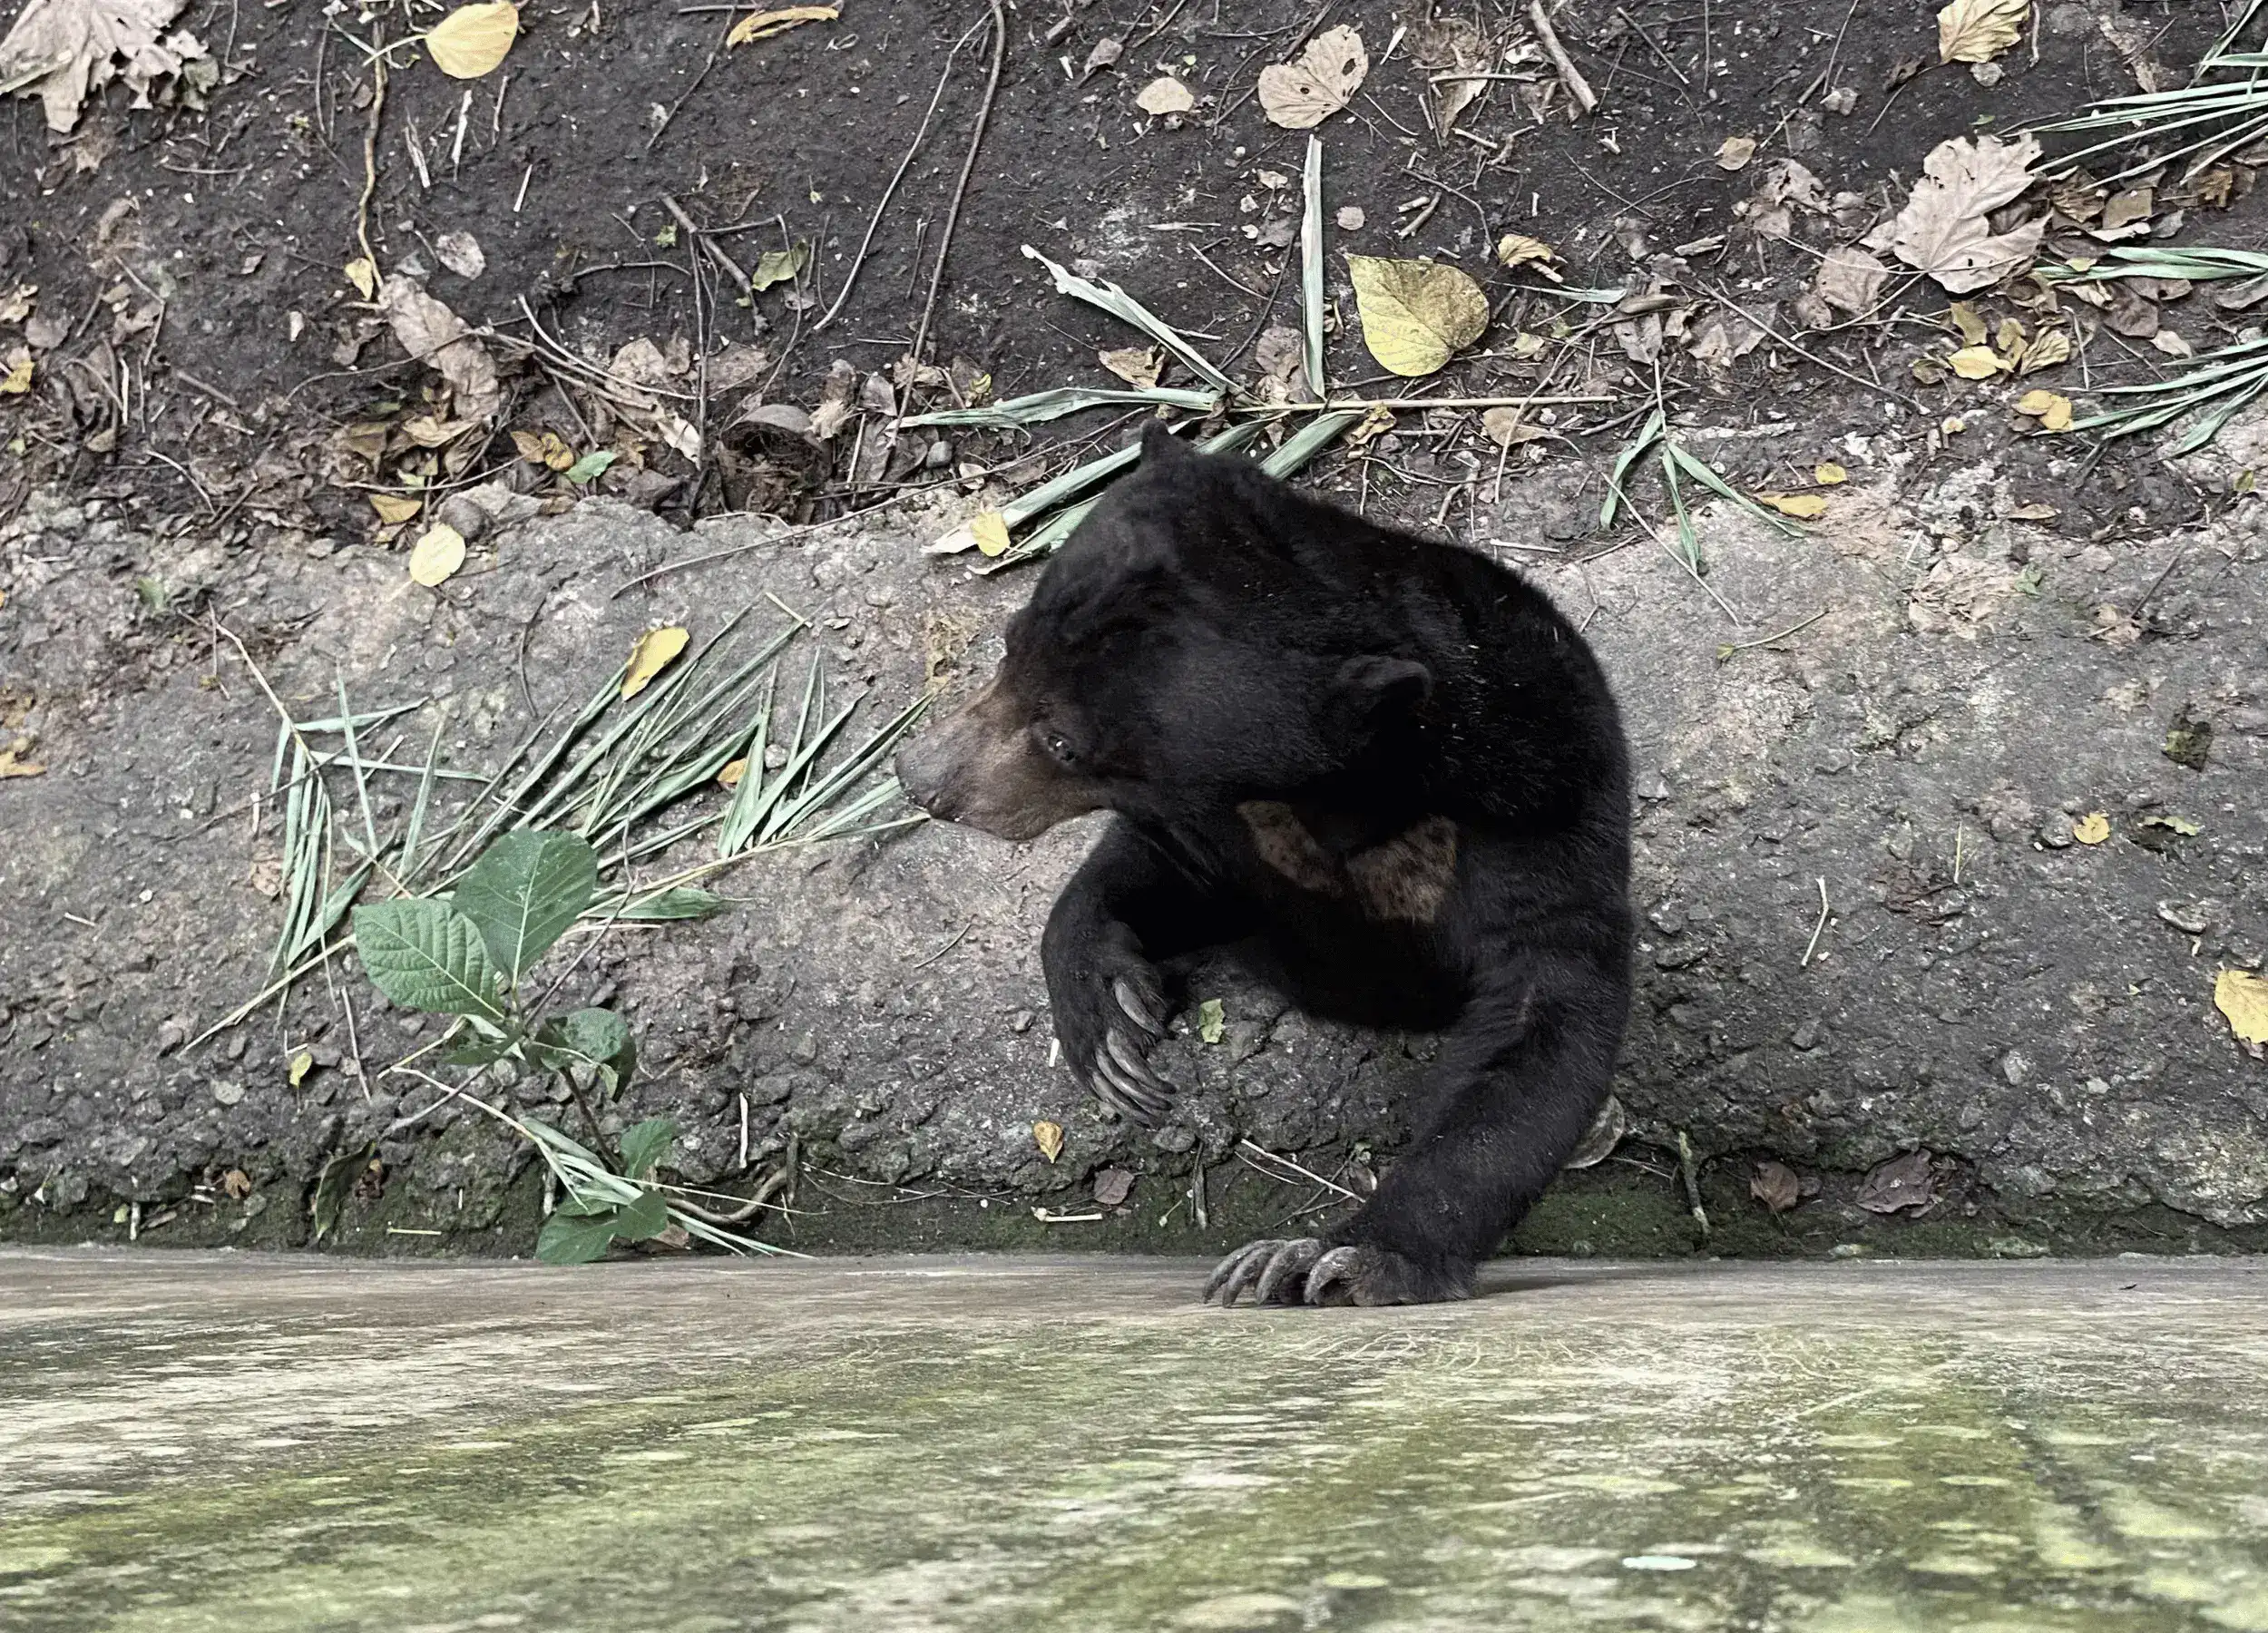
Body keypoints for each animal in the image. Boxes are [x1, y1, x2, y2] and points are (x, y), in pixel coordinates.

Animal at [895, 423, 1633, 1306]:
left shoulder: (1533, 820)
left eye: (1066, 741)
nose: (921, 778)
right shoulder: (1217, 829)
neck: (1337, 796)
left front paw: (1331, 1259)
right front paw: (1111, 1029)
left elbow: (1541, 1032)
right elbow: (1158, 878)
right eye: (1008, 646)